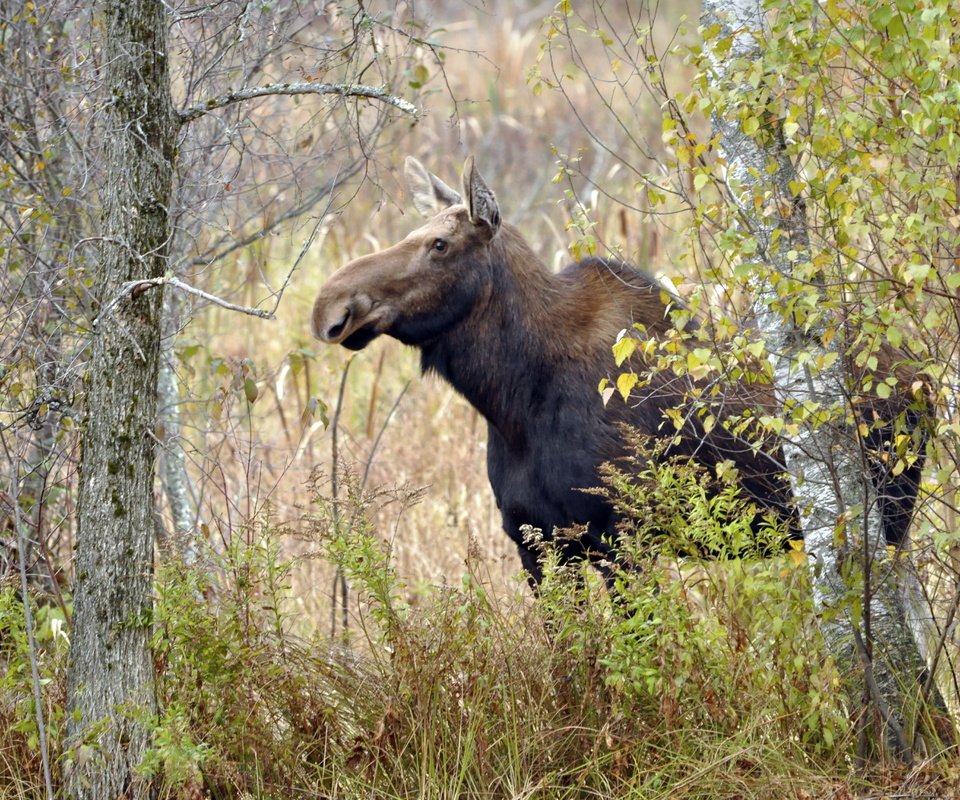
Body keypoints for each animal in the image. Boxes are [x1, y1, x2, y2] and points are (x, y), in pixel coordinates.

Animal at [316, 156, 928, 584]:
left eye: (439, 244)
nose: (330, 306)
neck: (509, 402)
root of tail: (923, 375)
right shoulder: (533, 543)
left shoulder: (622, 538)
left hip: (889, 516)